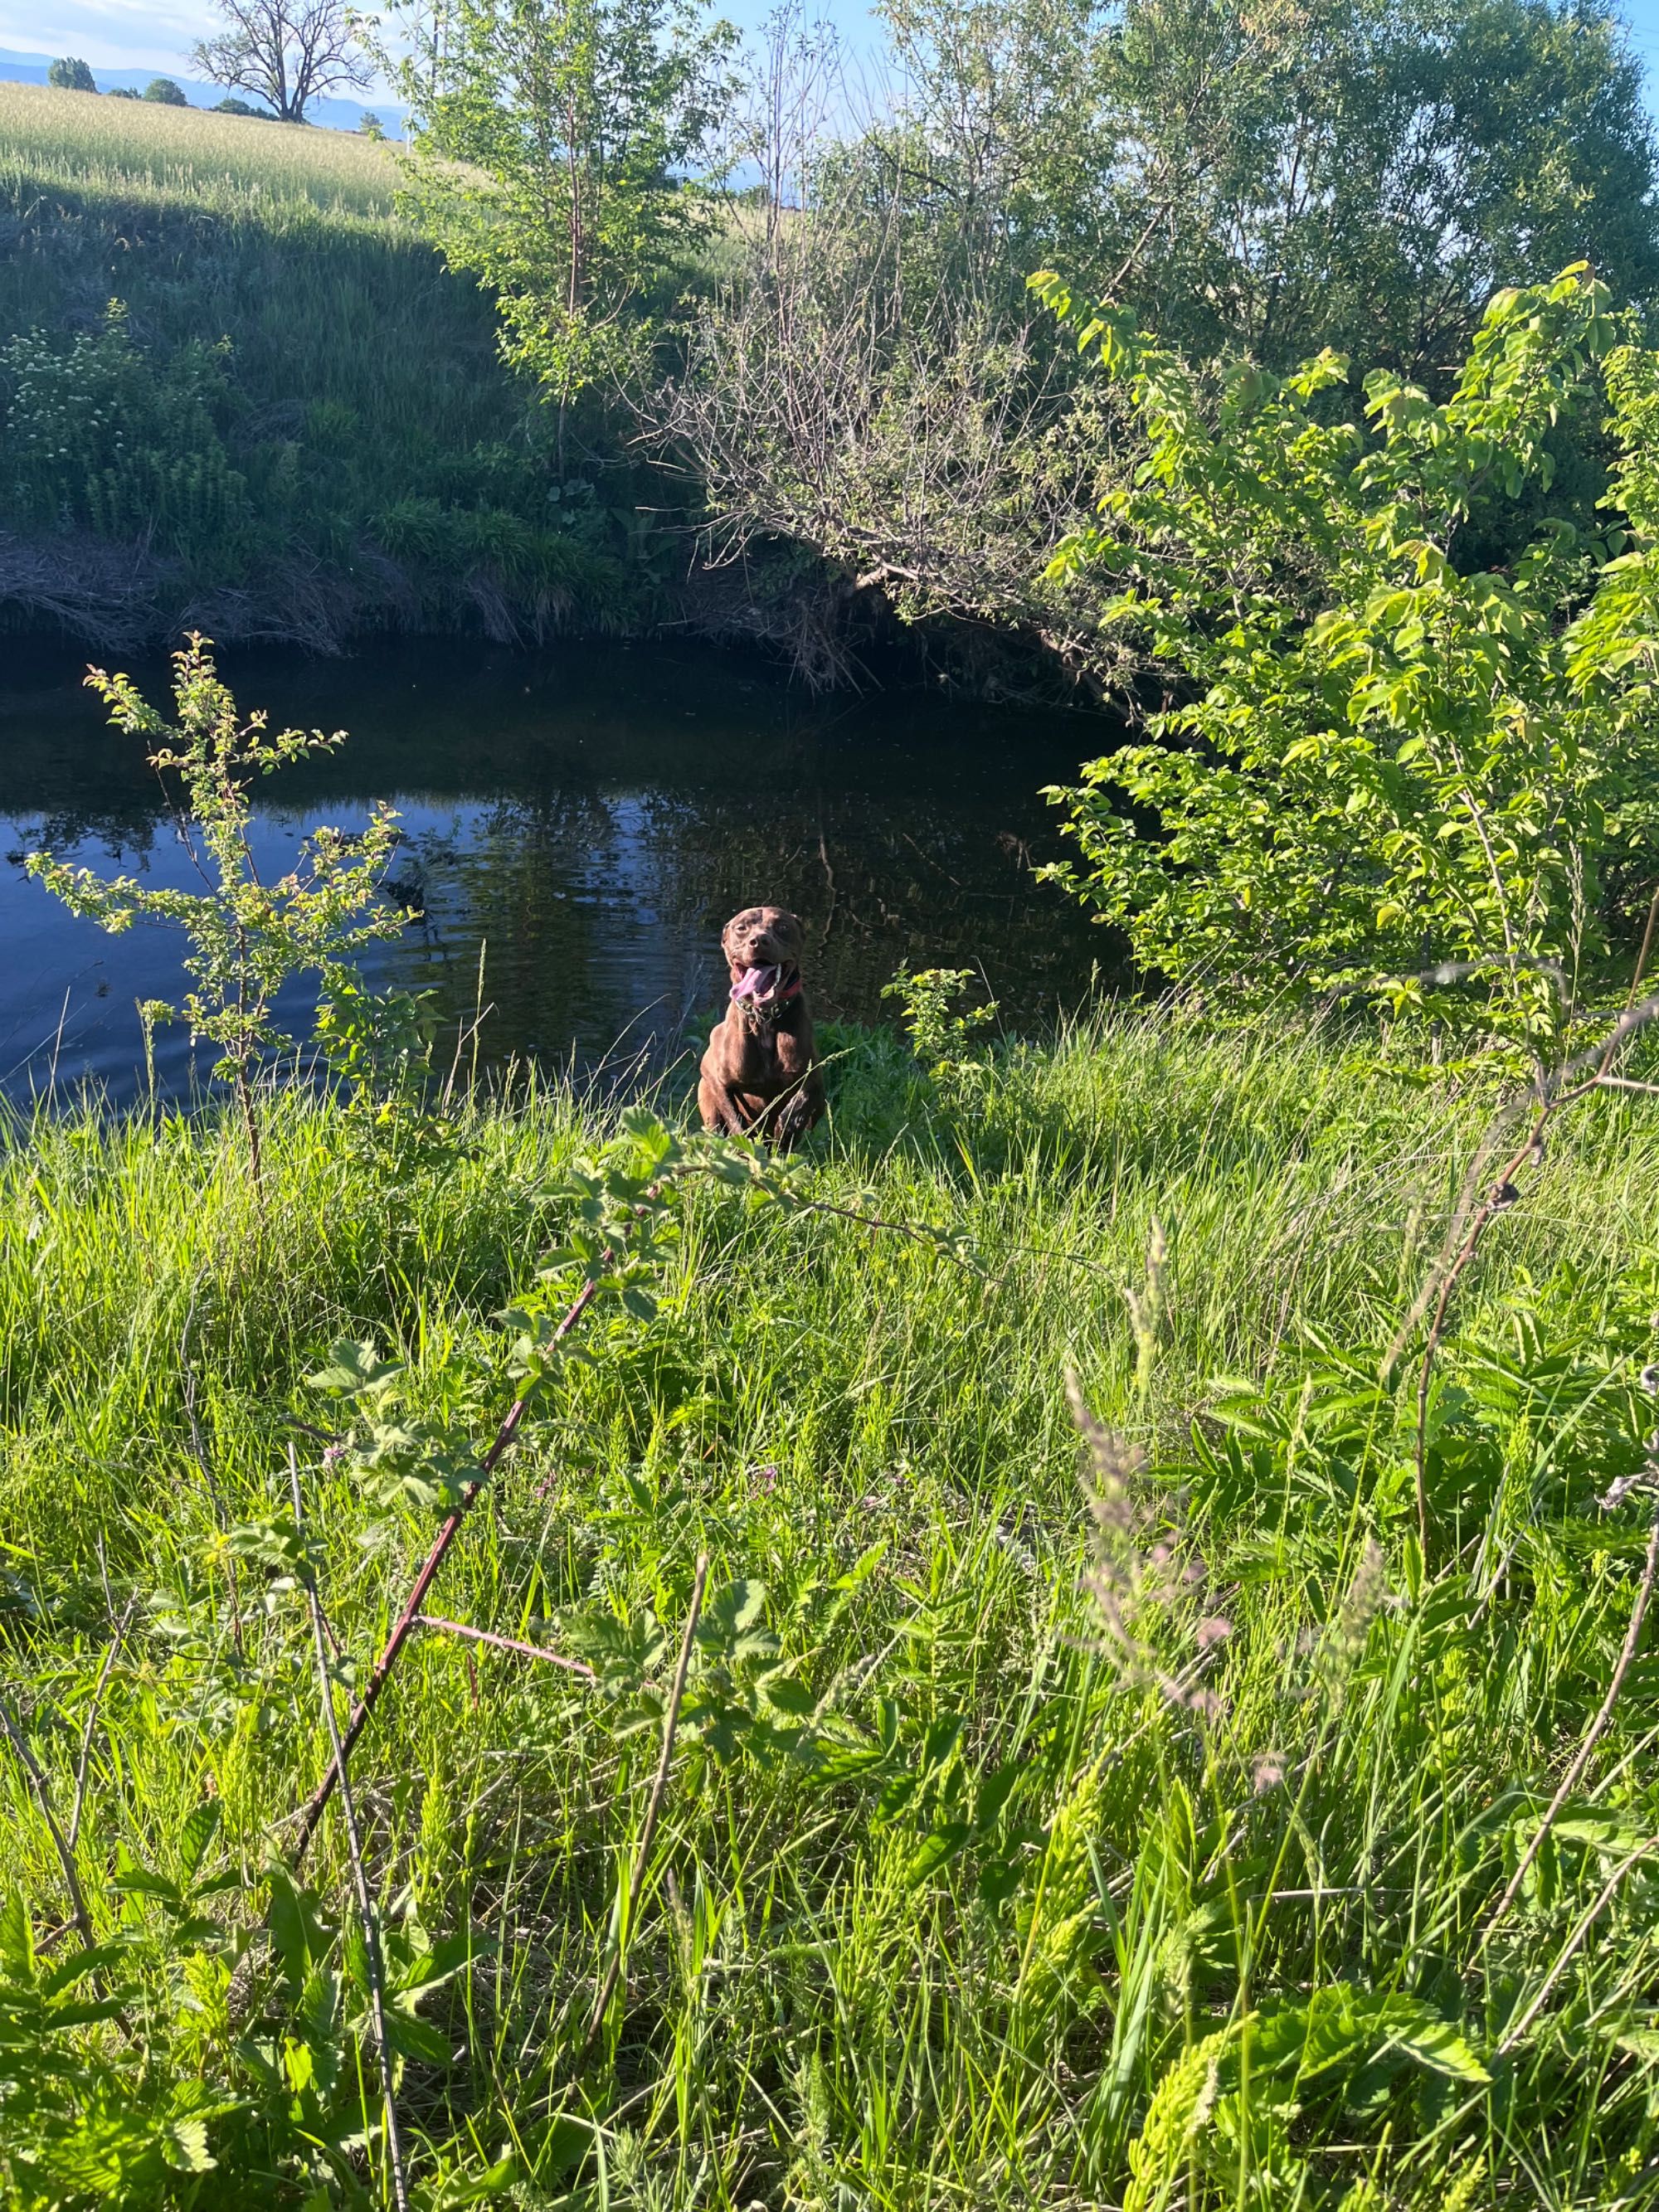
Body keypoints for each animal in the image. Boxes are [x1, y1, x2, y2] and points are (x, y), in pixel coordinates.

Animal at [703, 902, 827, 1150]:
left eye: (783, 926)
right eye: (741, 928)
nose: (759, 940)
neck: (764, 1018)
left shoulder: (813, 1076)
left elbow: (802, 1099)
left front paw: (787, 1125)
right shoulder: (714, 1074)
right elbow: (733, 1114)